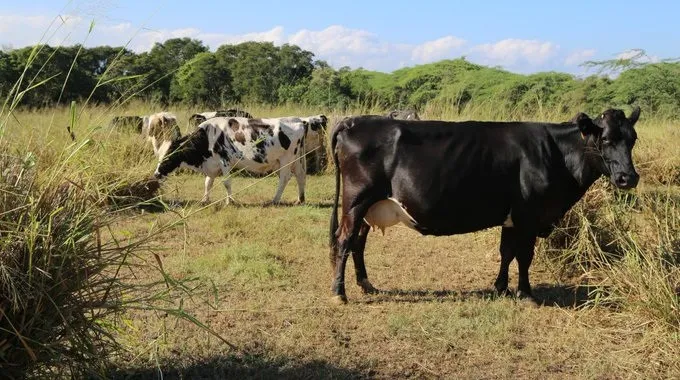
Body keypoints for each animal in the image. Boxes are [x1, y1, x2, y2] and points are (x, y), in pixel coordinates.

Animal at [153, 116, 310, 205]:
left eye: (168, 157)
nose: (156, 174)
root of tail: (298, 120)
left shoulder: (225, 161)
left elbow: (227, 182)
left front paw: (230, 201)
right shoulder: (212, 164)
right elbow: (208, 183)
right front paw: (205, 200)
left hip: (286, 159)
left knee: (285, 178)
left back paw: (275, 199)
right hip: (296, 159)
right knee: (300, 175)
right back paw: (300, 199)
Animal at [330, 106, 644, 302]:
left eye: (632, 139)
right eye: (605, 139)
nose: (628, 178)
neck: (556, 154)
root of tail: (353, 121)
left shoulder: (513, 216)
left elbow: (506, 252)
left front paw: (501, 288)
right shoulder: (529, 215)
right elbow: (524, 256)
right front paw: (526, 293)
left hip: (370, 206)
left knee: (358, 242)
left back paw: (366, 285)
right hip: (356, 201)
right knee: (344, 240)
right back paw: (339, 293)